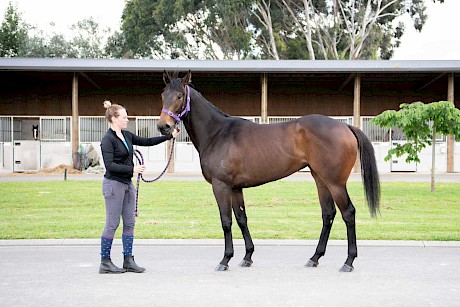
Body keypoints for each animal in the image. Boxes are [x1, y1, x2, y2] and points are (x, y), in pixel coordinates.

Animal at [158, 71, 380, 274]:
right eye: (162, 95)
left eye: (179, 96)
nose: (163, 126)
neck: (217, 133)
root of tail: (346, 126)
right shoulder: (235, 188)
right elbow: (242, 219)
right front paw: (247, 257)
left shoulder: (221, 186)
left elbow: (226, 221)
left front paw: (225, 260)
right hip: (320, 179)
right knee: (328, 214)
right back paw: (314, 257)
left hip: (335, 183)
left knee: (348, 213)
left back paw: (348, 261)